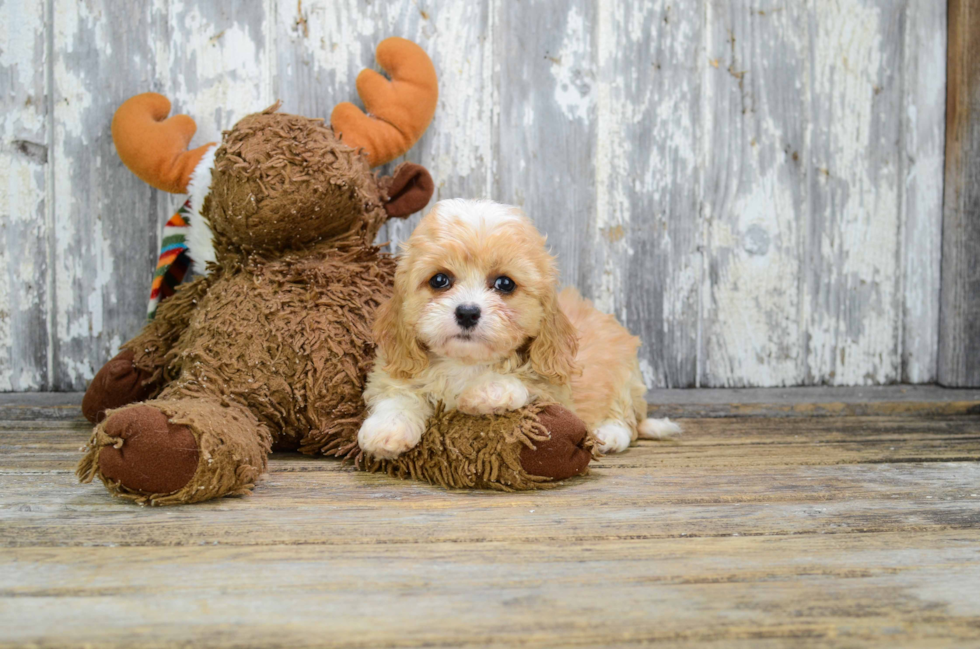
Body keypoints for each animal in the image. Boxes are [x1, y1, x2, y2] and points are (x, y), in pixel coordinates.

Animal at [360, 200, 680, 458]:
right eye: (439, 280)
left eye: (505, 283)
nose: (467, 312)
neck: (465, 363)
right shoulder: (400, 367)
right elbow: (397, 395)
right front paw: (385, 430)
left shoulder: (556, 387)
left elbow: (525, 381)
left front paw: (486, 392)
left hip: (626, 375)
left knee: (628, 420)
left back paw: (609, 435)